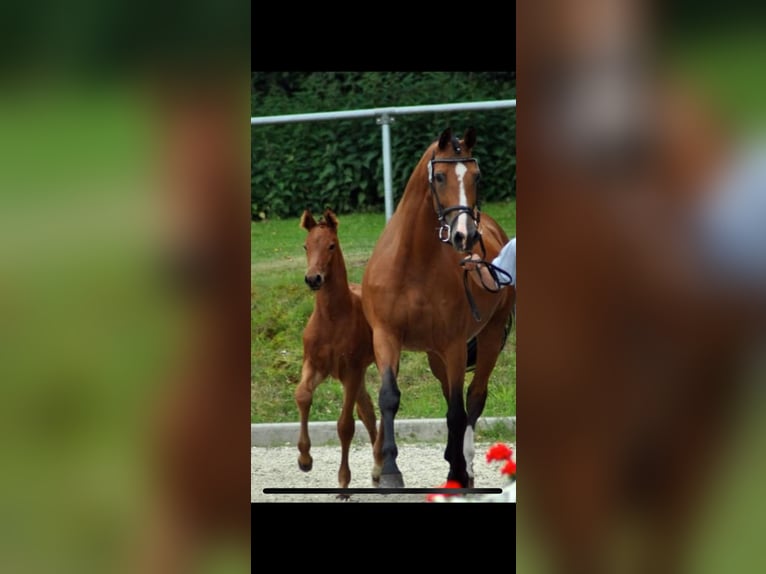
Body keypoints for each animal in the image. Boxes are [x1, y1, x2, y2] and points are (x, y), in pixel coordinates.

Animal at [298, 209, 384, 498]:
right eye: (306, 246)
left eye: (331, 246)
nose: (313, 279)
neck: (332, 318)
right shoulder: (314, 364)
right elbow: (302, 396)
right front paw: (304, 460)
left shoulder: (352, 370)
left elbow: (345, 425)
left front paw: (344, 483)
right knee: (368, 411)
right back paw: (379, 472)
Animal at [362, 127, 516, 490]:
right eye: (441, 176)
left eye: (477, 176)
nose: (465, 235)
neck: (411, 264)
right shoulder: (386, 337)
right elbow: (389, 396)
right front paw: (389, 471)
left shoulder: (454, 345)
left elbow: (458, 411)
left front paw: (457, 472)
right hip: (435, 356)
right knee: (449, 394)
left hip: (487, 339)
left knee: (473, 398)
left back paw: (465, 468)